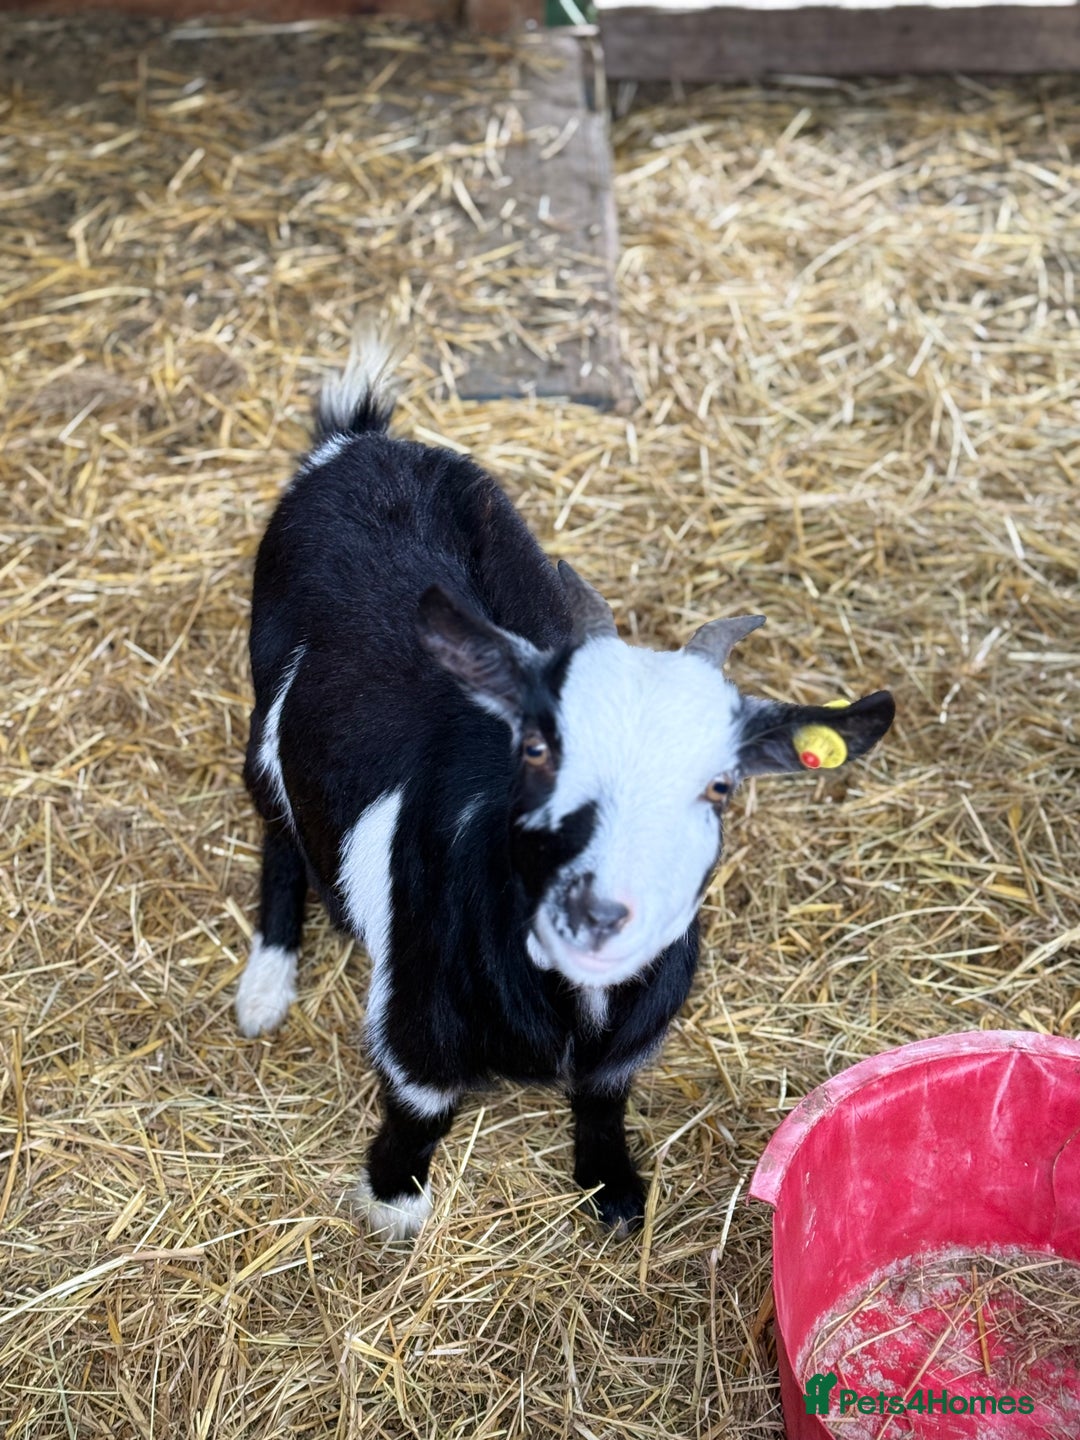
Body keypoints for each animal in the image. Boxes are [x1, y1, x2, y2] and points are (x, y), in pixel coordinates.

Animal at [236, 336, 895, 1239]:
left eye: (720, 785)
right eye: (541, 748)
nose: (601, 910)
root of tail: (359, 444)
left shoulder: (629, 1039)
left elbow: (604, 1095)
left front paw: (613, 1190)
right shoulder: (416, 1030)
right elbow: (419, 1110)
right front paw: (395, 1201)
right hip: (264, 709)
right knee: (276, 827)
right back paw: (264, 989)